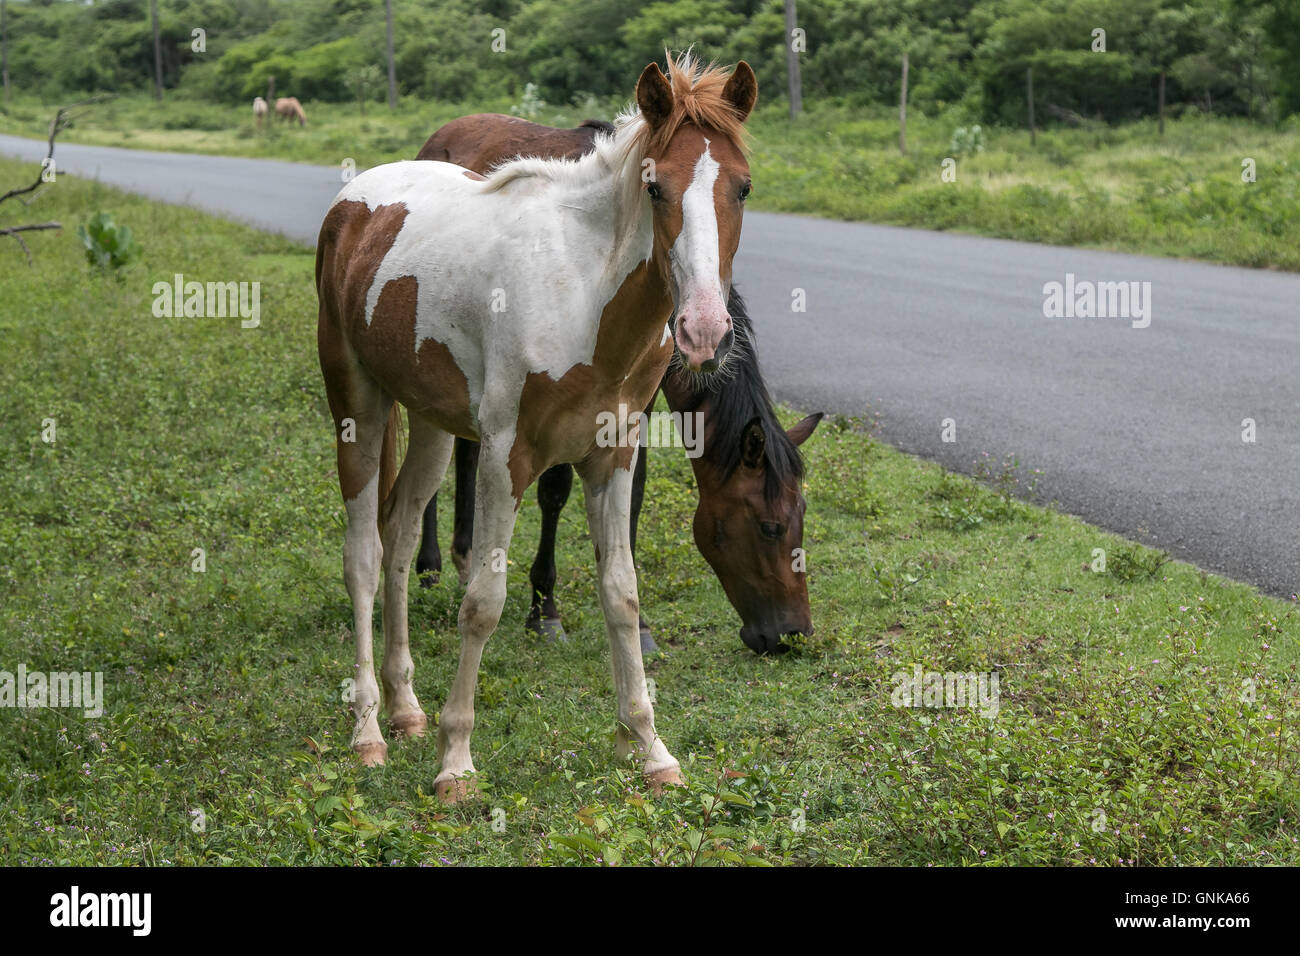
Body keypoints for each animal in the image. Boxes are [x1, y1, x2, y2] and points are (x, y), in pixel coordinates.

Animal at [315, 54, 758, 800]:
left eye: (744, 187)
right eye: (655, 187)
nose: (703, 331)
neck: (578, 291)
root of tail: (353, 200)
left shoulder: (613, 456)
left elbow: (622, 594)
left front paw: (649, 747)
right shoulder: (506, 458)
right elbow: (483, 601)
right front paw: (456, 762)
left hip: (433, 426)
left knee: (399, 537)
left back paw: (406, 710)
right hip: (359, 406)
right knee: (363, 557)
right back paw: (369, 730)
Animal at [412, 114, 822, 655]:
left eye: (801, 518)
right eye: (769, 527)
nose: (792, 634)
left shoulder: (632, 407)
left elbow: (633, 497)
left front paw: (639, 625)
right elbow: (555, 491)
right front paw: (544, 608)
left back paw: (463, 557)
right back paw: (430, 566)